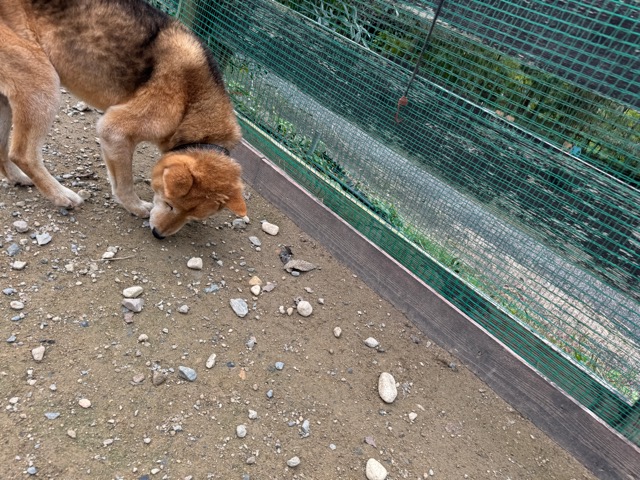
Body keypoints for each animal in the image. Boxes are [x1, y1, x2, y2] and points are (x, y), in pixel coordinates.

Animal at [0, 0, 247, 238]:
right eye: (169, 204)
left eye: (191, 218)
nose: (158, 235)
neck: (192, 104)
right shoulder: (114, 130)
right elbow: (126, 181)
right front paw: (135, 206)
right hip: (44, 81)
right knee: (22, 153)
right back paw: (61, 196)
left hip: (7, 101)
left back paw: (17, 177)